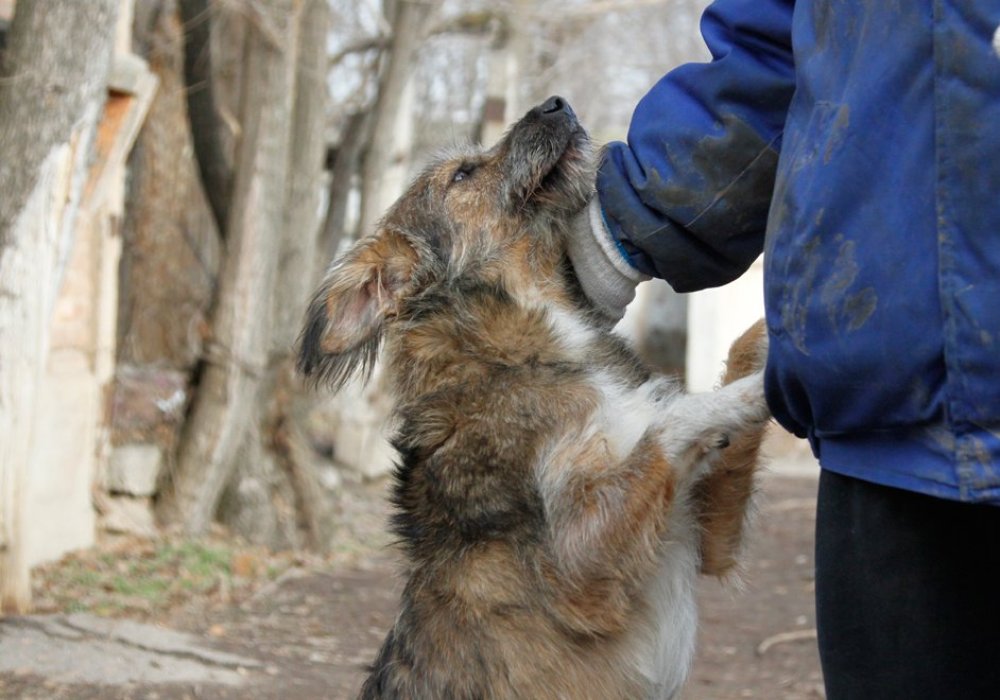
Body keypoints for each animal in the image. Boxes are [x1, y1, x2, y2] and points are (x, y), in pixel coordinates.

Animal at [300, 97, 768, 700]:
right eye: (463, 174)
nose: (555, 103)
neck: (523, 348)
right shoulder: (579, 562)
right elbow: (670, 421)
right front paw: (772, 383)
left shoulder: (711, 540)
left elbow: (736, 351)